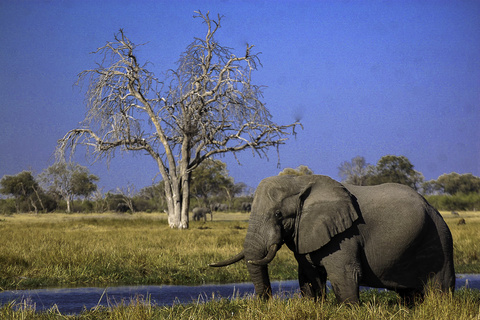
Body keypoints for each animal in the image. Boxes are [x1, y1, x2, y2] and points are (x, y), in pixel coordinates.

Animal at [212, 175, 456, 302]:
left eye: (278, 215)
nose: (267, 304)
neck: (300, 182)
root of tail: (432, 206)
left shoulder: (345, 235)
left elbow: (344, 274)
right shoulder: (304, 234)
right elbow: (309, 276)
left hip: (439, 239)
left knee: (440, 288)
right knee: (410, 294)